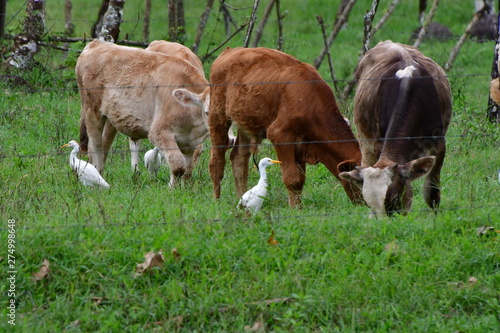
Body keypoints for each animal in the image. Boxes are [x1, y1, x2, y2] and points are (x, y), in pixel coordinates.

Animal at [76, 40, 211, 185]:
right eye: (207, 111)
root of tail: (96, 43)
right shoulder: (159, 133)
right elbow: (178, 166)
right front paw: (171, 188)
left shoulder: (190, 144)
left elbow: (186, 169)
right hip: (92, 111)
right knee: (95, 147)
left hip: (111, 118)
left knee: (104, 144)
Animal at [207, 46, 364, 208]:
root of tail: (230, 50)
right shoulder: (280, 135)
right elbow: (292, 179)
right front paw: (294, 209)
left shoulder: (302, 145)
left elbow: (300, 180)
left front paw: (298, 207)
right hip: (217, 115)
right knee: (217, 162)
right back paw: (216, 201)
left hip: (244, 123)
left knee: (239, 159)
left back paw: (242, 197)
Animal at [338, 40, 452, 218]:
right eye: (368, 203)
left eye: (394, 198)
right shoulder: (378, 144)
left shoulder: (439, 145)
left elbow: (432, 193)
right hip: (365, 142)